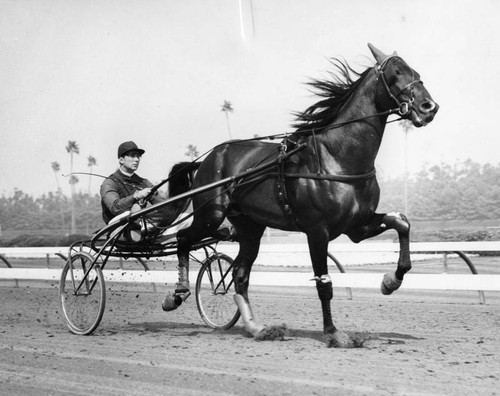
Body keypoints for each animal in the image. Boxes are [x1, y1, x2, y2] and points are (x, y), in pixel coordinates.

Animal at [164, 43, 438, 346]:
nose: (429, 107)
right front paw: (333, 333)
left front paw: (390, 281)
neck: (338, 158)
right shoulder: (317, 230)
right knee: (183, 238)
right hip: (210, 215)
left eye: (415, 71)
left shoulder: (356, 226)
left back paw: (256, 328)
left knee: (240, 272)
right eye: (395, 73)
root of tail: (209, 158)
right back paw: (177, 294)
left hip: (250, 227)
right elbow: (324, 282)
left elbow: (402, 222)